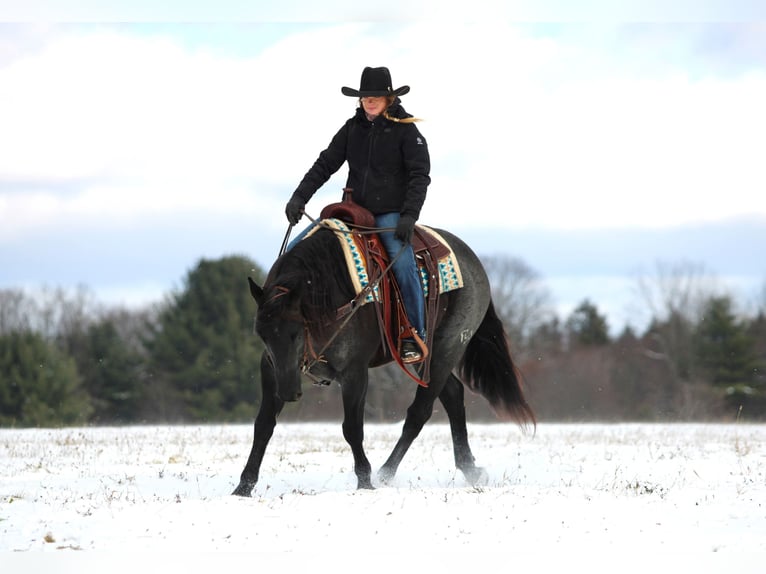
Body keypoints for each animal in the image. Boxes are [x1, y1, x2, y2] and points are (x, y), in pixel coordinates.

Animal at [232, 221, 535, 497]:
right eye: (262, 334)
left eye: (295, 333)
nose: (288, 392)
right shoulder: (271, 369)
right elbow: (263, 425)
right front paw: (243, 487)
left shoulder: (354, 372)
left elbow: (352, 428)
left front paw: (365, 481)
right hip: (426, 359)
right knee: (452, 394)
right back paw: (470, 468)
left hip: (447, 347)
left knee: (419, 412)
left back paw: (386, 473)